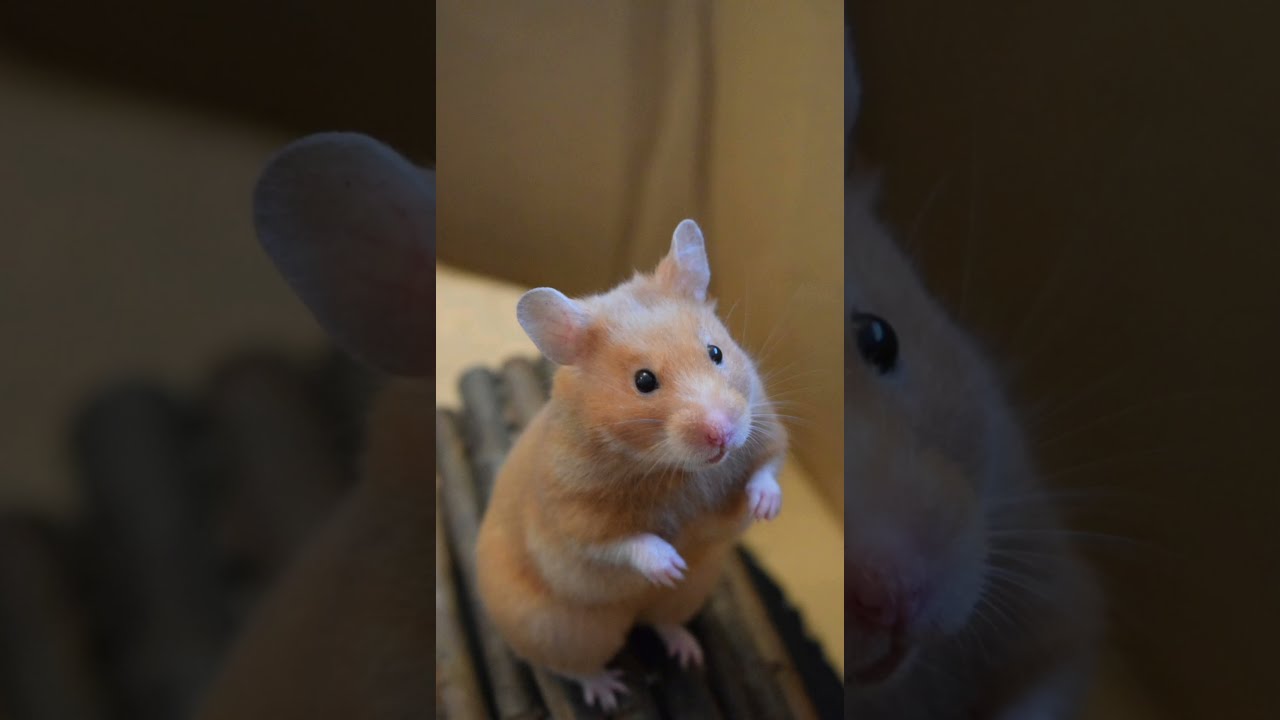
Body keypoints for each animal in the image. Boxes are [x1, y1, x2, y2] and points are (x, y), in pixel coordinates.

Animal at [475, 219, 789, 711]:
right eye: (644, 381)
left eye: (716, 352)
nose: (721, 434)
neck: (677, 468)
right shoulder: (576, 518)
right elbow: (623, 542)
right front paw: (671, 564)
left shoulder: (763, 423)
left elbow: (767, 467)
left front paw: (764, 509)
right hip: (564, 631)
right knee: (570, 666)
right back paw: (609, 691)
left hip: (692, 592)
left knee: (663, 620)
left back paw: (689, 652)